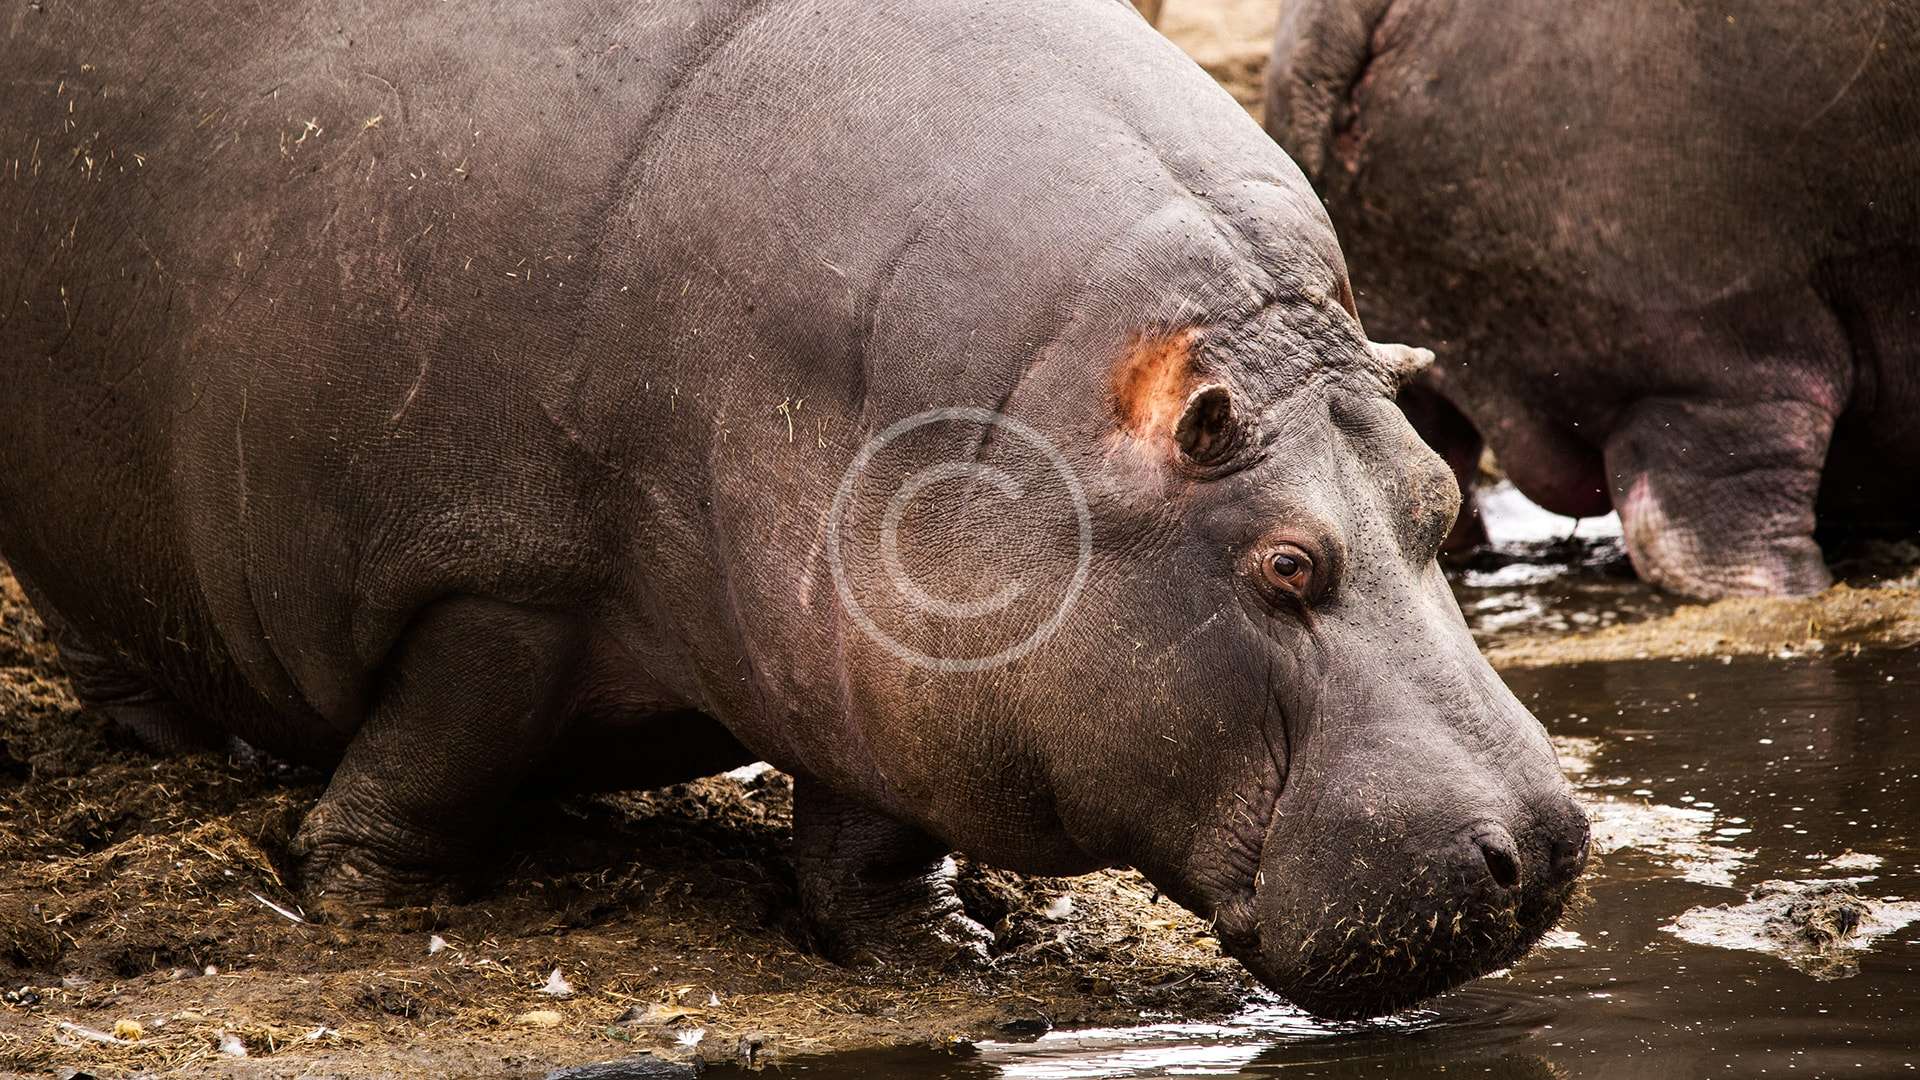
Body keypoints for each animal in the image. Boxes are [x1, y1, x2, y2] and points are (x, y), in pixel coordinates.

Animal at [0, 0, 1586, 1018]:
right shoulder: (503, 582)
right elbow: (443, 737)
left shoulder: (879, 661)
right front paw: (367, 903)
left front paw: (941, 954)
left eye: (1439, 501)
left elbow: (872, 827)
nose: (1551, 847)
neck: (1023, 424)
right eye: (1286, 565)